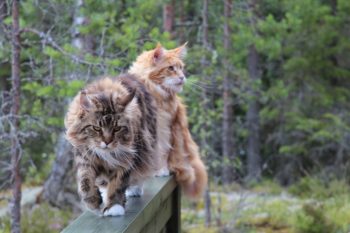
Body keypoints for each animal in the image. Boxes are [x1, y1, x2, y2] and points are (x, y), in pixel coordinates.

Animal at [65, 73, 158, 216]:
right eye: (97, 128)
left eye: (117, 129)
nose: (107, 141)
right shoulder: (85, 157)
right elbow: (85, 180)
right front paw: (92, 201)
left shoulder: (126, 158)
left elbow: (118, 183)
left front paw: (114, 206)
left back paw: (134, 189)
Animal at [129, 42, 208, 198]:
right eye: (171, 68)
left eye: (181, 68)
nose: (182, 77)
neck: (155, 93)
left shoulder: (165, 127)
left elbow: (162, 152)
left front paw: (161, 170)